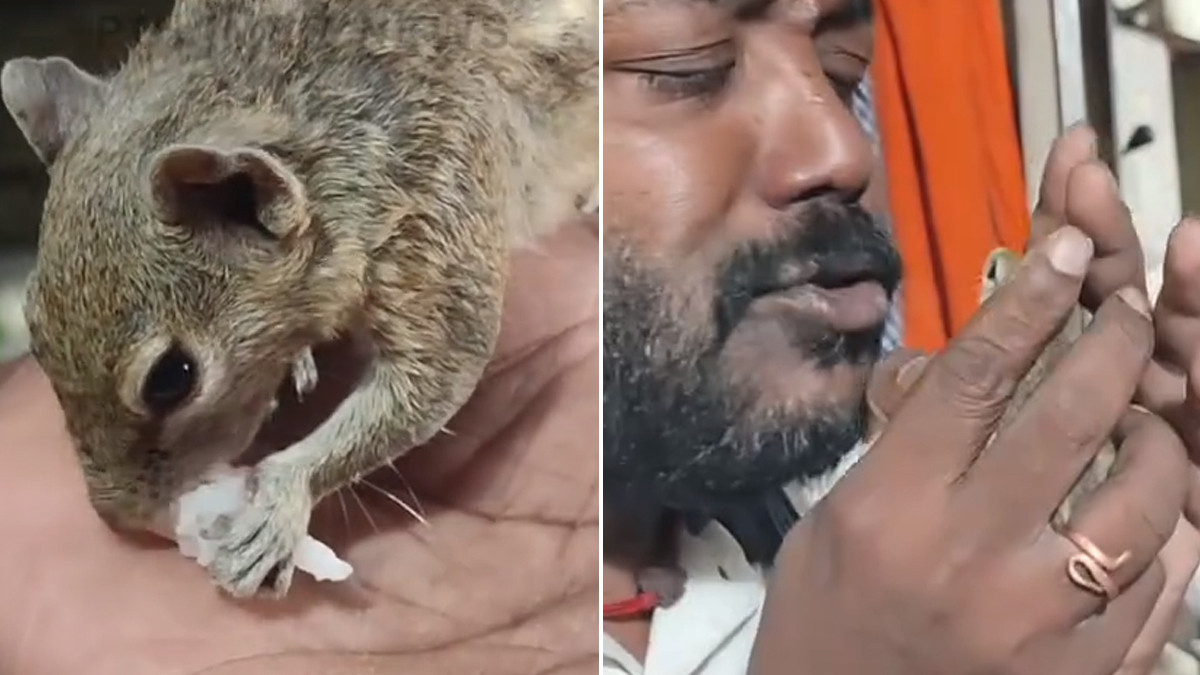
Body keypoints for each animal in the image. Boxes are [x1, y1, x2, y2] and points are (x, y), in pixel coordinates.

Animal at [0, 0, 597, 599]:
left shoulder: (434, 204)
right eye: (35, 332)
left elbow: (435, 373)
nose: (120, 518)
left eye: (171, 378)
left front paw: (279, 508)